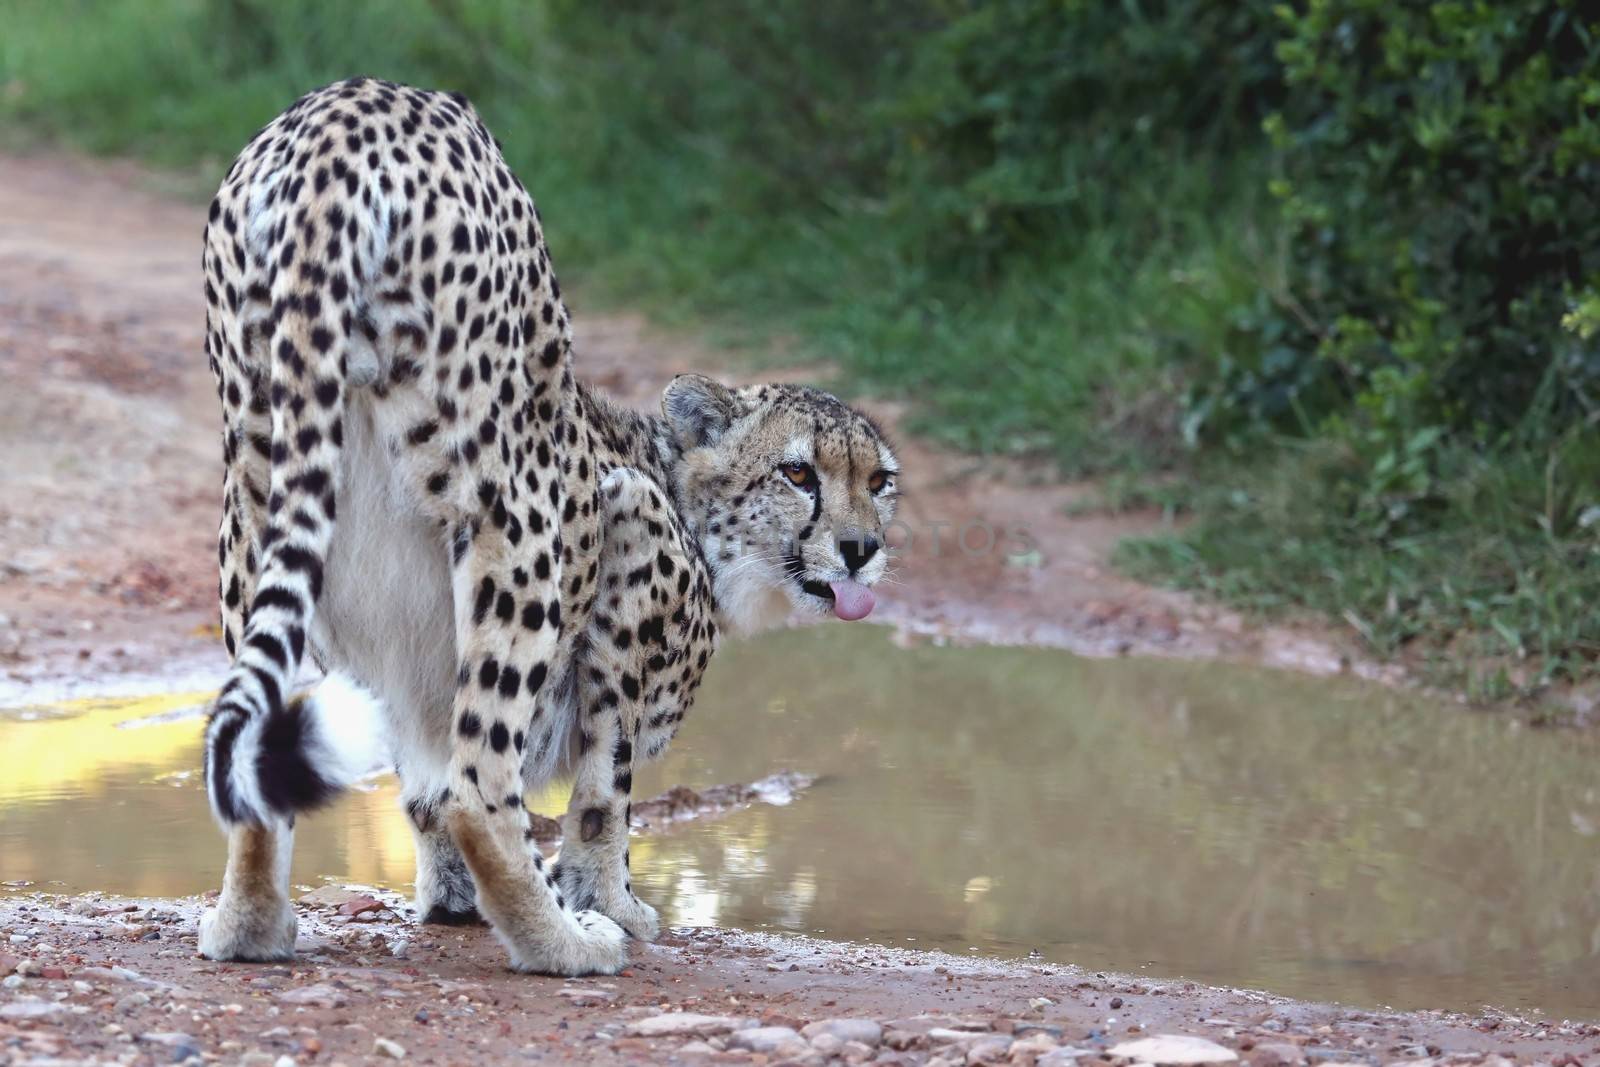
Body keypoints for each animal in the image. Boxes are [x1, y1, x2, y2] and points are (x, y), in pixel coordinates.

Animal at [190, 77, 902, 979]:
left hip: (259, 499)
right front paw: (610, 904)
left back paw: (250, 922)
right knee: (479, 786)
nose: (861, 550)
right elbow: (604, 791)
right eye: (800, 473)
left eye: (878, 481)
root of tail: (345, 111)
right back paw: (560, 942)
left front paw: (451, 901)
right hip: (514, 512)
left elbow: (422, 788)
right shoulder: (633, 528)